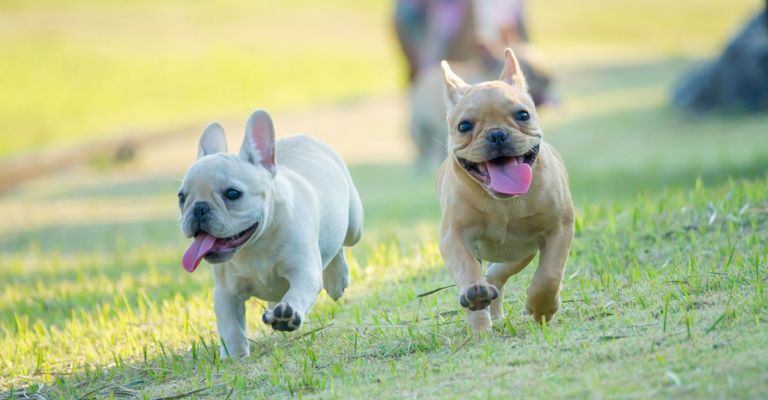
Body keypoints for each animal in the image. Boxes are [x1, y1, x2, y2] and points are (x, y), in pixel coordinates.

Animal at [178, 110, 364, 360]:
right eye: (181, 197)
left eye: (233, 194)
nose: (199, 208)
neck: (254, 245)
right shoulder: (226, 293)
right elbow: (230, 327)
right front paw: (235, 357)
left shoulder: (304, 271)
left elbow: (297, 294)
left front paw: (287, 314)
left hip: (354, 226)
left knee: (341, 243)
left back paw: (337, 277)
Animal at [436, 49, 572, 332]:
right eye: (464, 126)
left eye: (523, 115)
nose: (497, 134)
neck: (503, 203)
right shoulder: (453, 236)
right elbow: (465, 265)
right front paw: (475, 292)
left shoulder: (559, 229)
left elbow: (550, 274)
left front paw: (542, 308)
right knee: (484, 280)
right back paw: (481, 320)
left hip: (519, 254)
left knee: (498, 274)